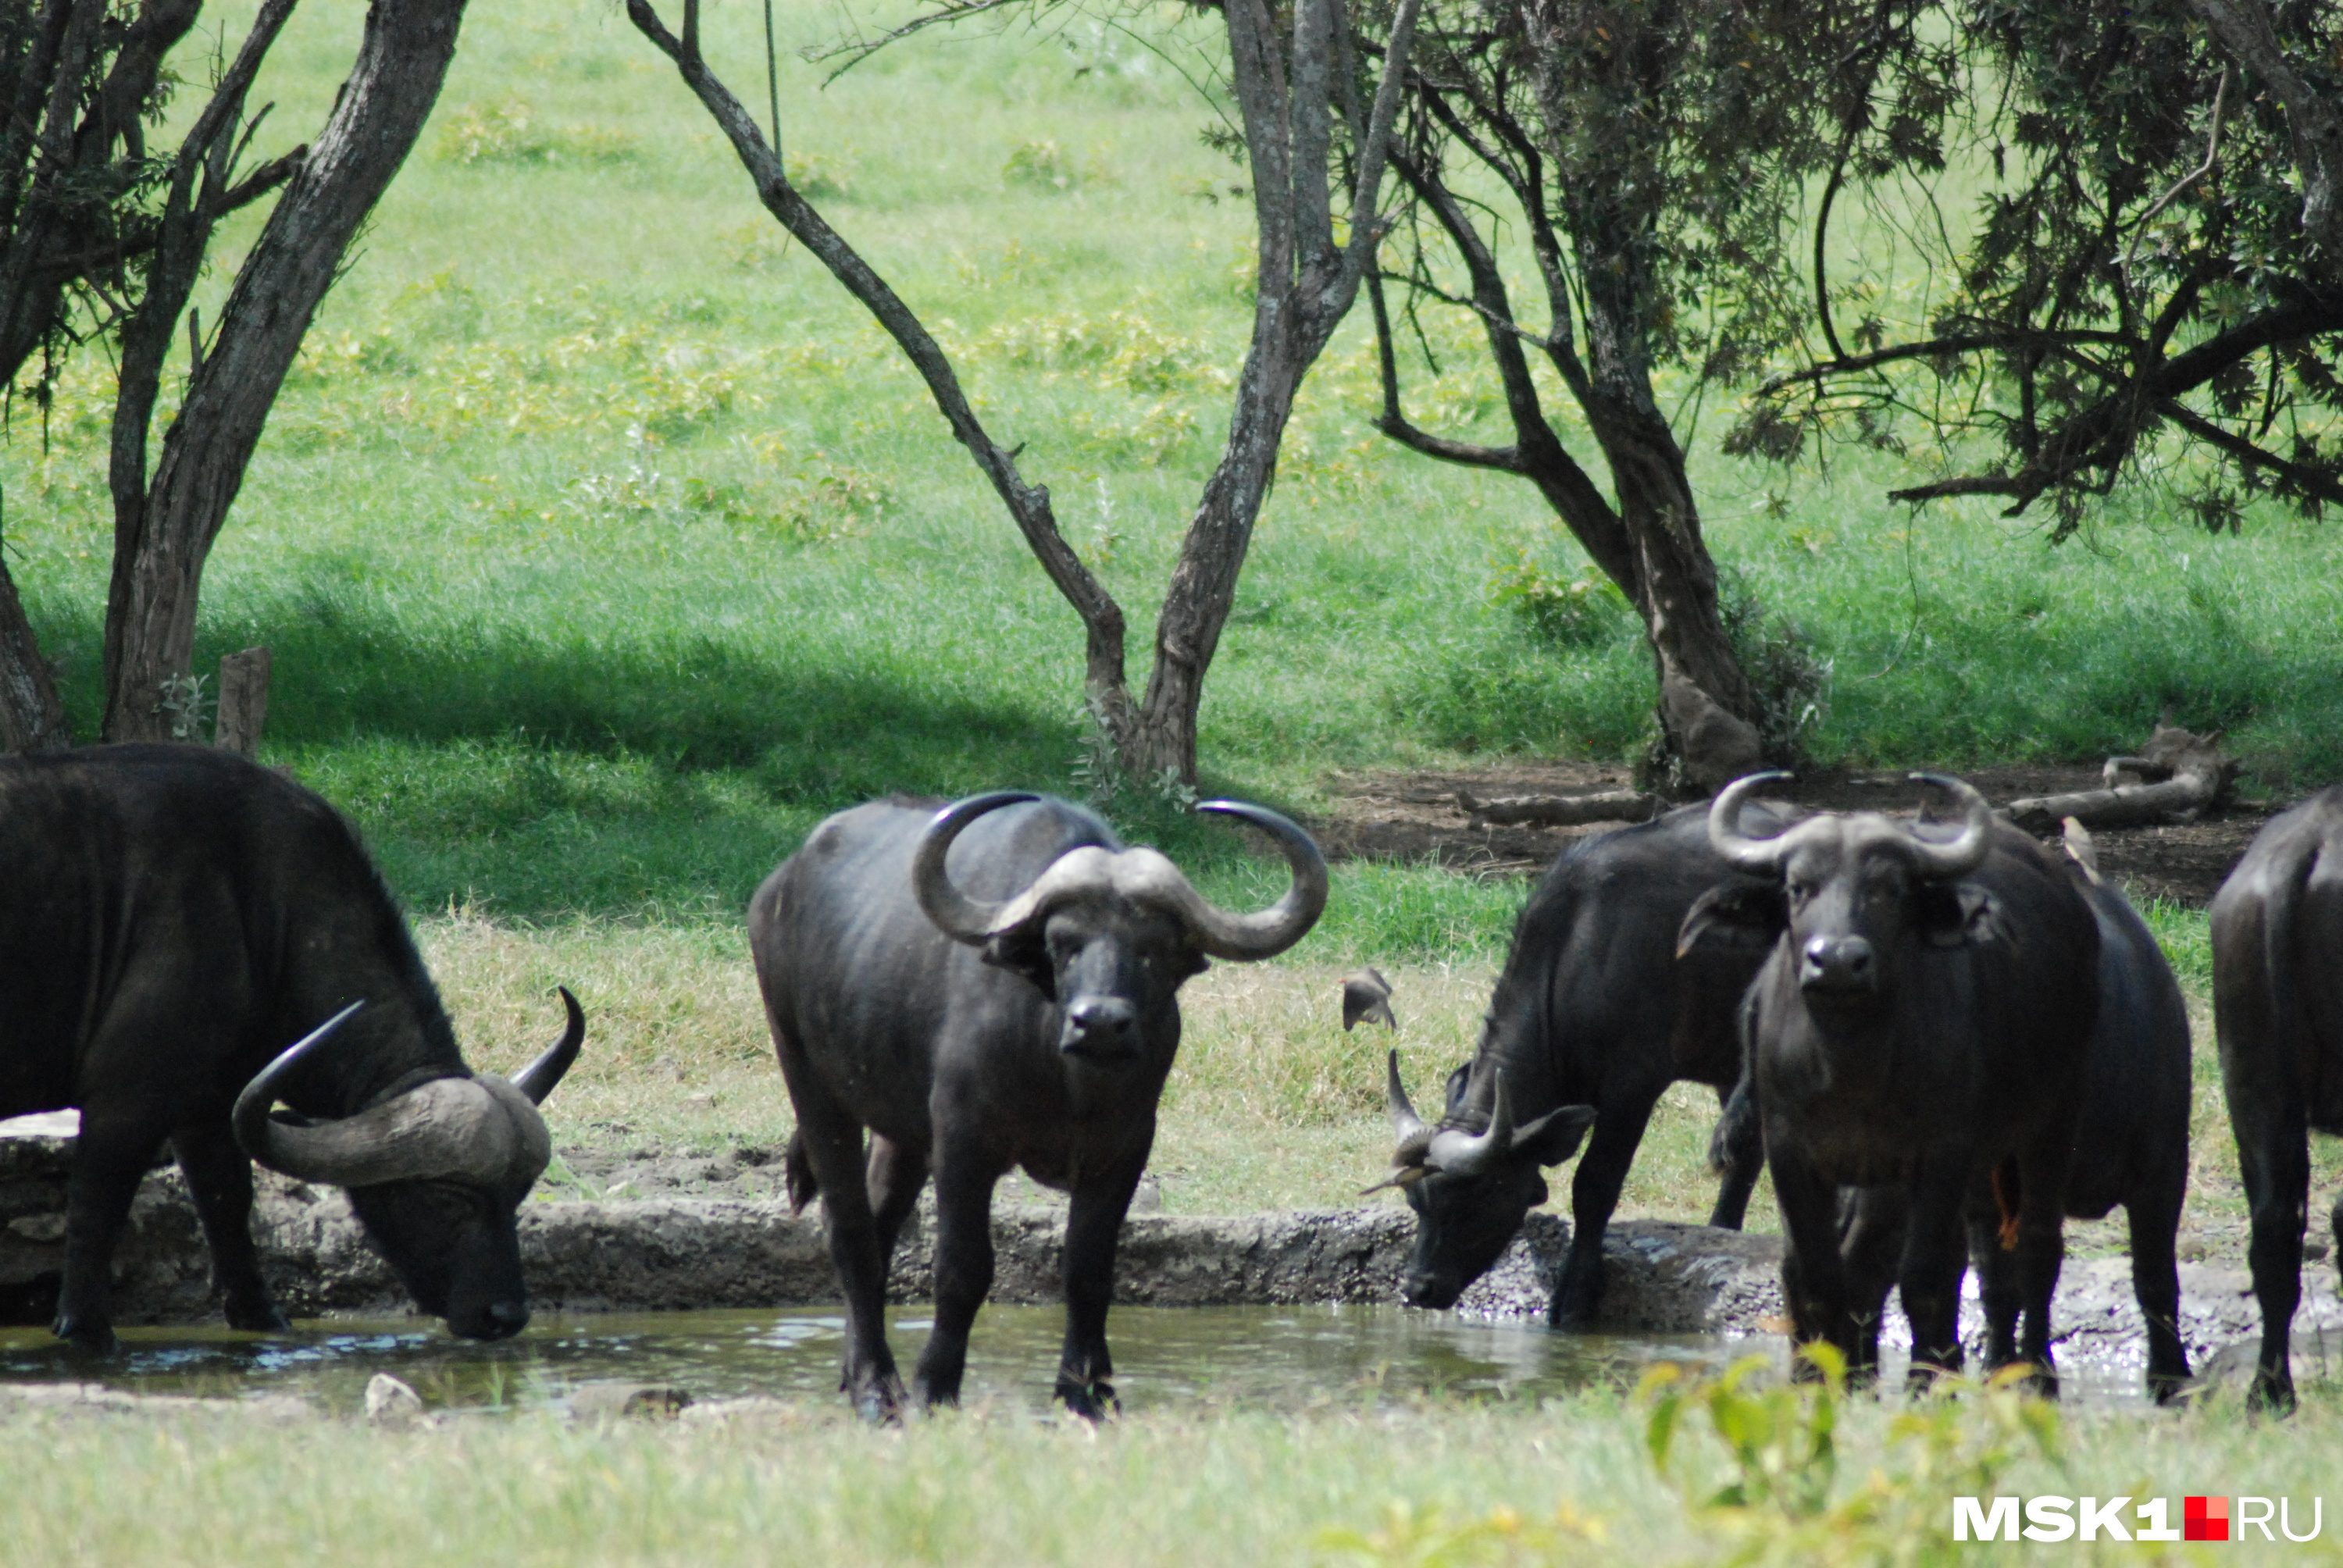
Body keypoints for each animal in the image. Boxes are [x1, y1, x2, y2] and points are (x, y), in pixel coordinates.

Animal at [0, 740, 583, 1349]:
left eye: (517, 1195)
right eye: (447, 1198)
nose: (505, 1316)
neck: (258, 915)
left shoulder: (209, 1109)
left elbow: (228, 1204)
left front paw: (263, 1319)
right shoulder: (125, 1102)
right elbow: (96, 1212)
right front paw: (86, 1331)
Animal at [759, 787, 1331, 1415]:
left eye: (1154, 948)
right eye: (1064, 945)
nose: (1099, 1023)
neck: (1067, 1078)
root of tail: (780, 888)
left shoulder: (1124, 1150)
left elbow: (1089, 1270)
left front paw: (1086, 1393)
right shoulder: (962, 1142)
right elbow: (962, 1268)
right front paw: (935, 1387)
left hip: (899, 1126)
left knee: (881, 1221)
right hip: (805, 1071)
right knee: (850, 1230)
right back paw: (875, 1386)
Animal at [1368, 796, 1790, 1321]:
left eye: (1475, 1196)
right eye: (1414, 1200)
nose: (1418, 1289)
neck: (1579, 957)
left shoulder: (1634, 1089)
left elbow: (1594, 1185)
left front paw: (1576, 1291)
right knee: (1747, 1148)